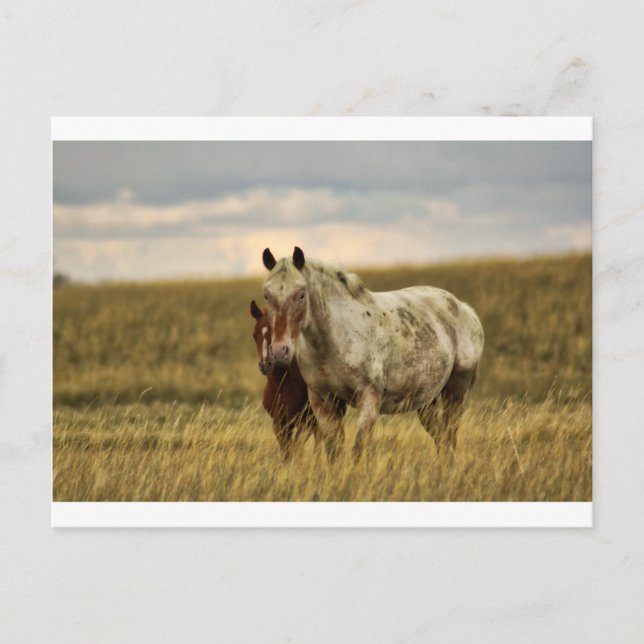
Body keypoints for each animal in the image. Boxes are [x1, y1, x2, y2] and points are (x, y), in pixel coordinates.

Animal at [250, 299, 318, 459]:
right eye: (254, 335)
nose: (265, 364)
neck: (281, 386)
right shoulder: (279, 423)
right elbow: (286, 451)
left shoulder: (302, 421)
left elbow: (296, 449)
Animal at [260, 247, 484, 462]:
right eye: (267, 295)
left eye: (301, 294)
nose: (279, 351)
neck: (334, 342)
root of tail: (464, 308)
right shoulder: (323, 401)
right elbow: (334, 451)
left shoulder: (368, 398)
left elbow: (358, 449)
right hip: (427, 401)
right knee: (441, 438)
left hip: (455, 392)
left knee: (450, 436)